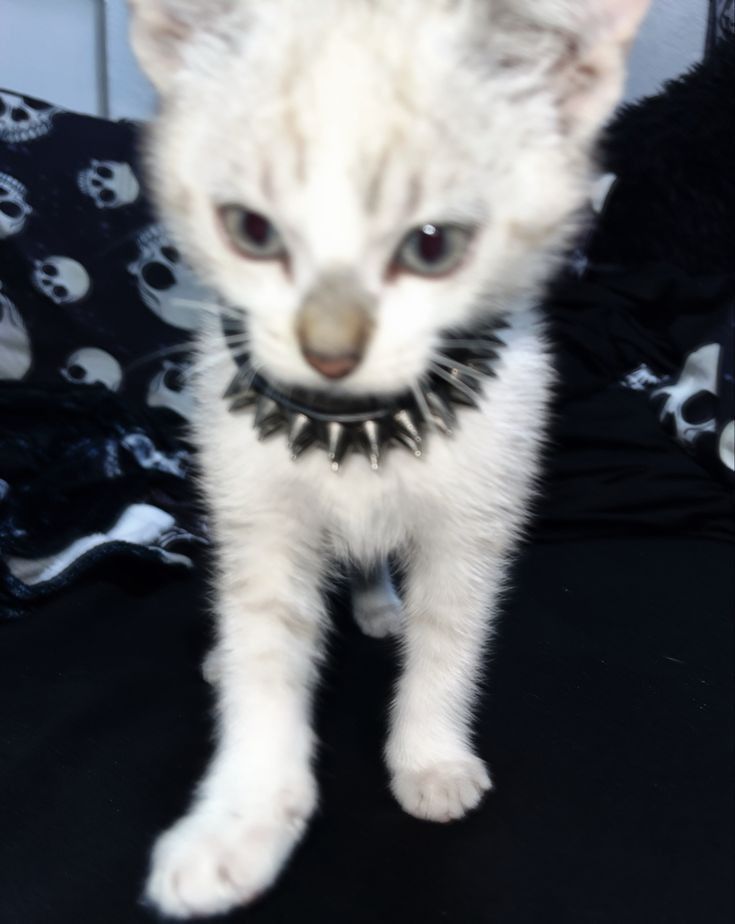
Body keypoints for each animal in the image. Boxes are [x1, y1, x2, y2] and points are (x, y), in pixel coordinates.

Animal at [129, 1, 648, 916]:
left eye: (433, 246)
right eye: (250, 230)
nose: (328, 349)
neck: (356, 420)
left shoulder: (476, 521)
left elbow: (450, 640)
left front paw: (430, 756)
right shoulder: (259, 522)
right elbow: (264, 655)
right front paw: (239, 823)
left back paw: (377, 604)